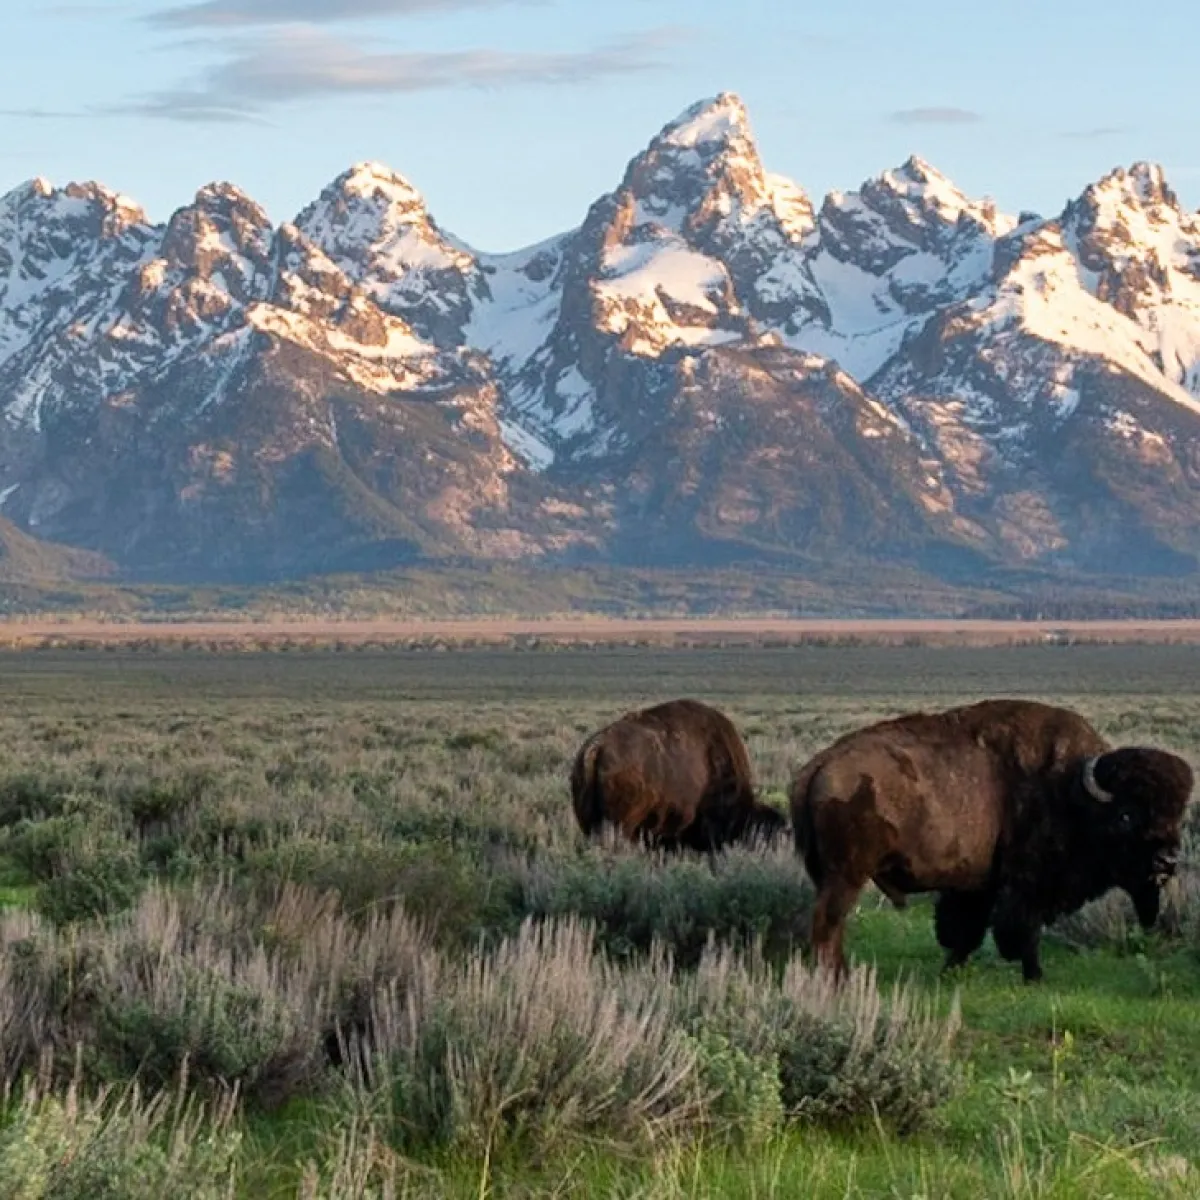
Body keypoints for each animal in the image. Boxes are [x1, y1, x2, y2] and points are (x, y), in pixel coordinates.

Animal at [789, 698, 1194, 982]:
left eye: (1177, 815)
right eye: (1126, 816)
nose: (1167, 861)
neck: (1071, 790)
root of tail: (817, 768)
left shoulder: (978, 884)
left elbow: (965, 931)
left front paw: (949, 972)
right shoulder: (1026, 884)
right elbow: (1020, 931)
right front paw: (1035, 976)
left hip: (830, 875)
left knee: (830, 924)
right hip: (847, 875)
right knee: (828, 923)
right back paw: (836, 980)